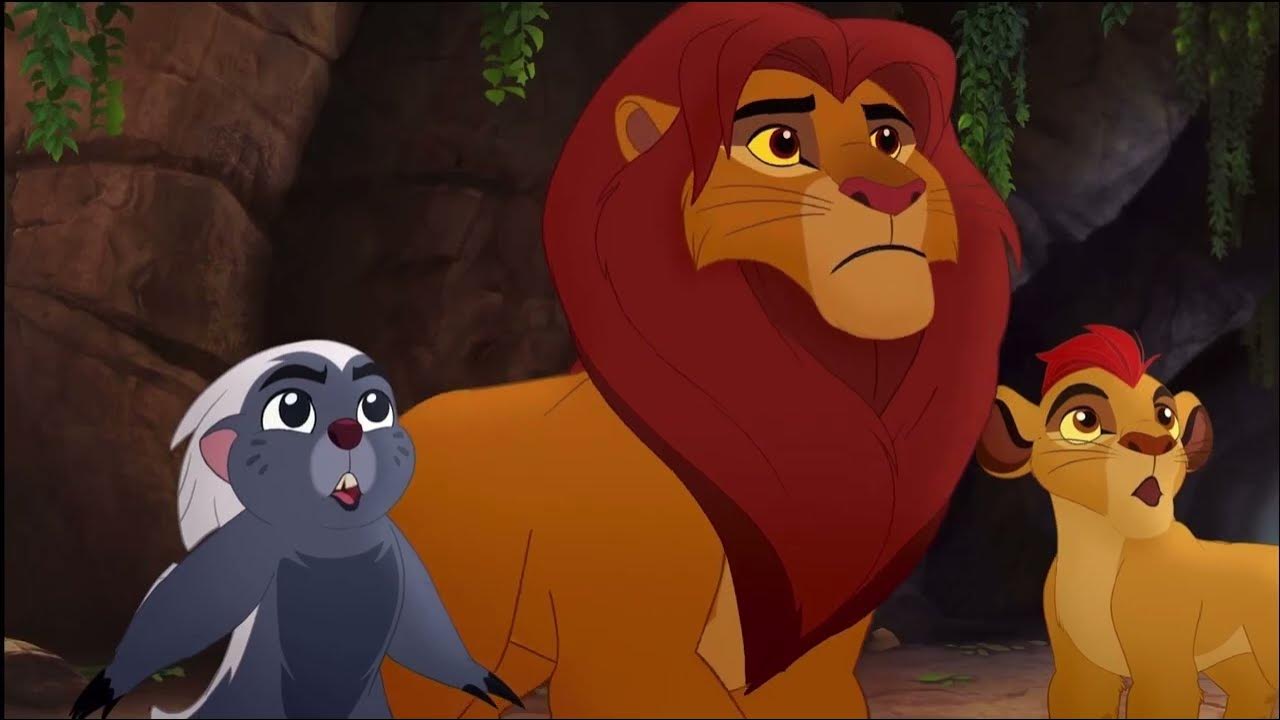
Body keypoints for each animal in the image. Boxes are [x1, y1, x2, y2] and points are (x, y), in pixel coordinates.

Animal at [976, 324, 1279, 719]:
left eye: (1166, 416)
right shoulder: (1082, 671)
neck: (1101, 550)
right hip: (1234, 655)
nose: (1153, 442)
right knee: (1255, 690)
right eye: (1084, 420)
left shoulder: (1164, 669)